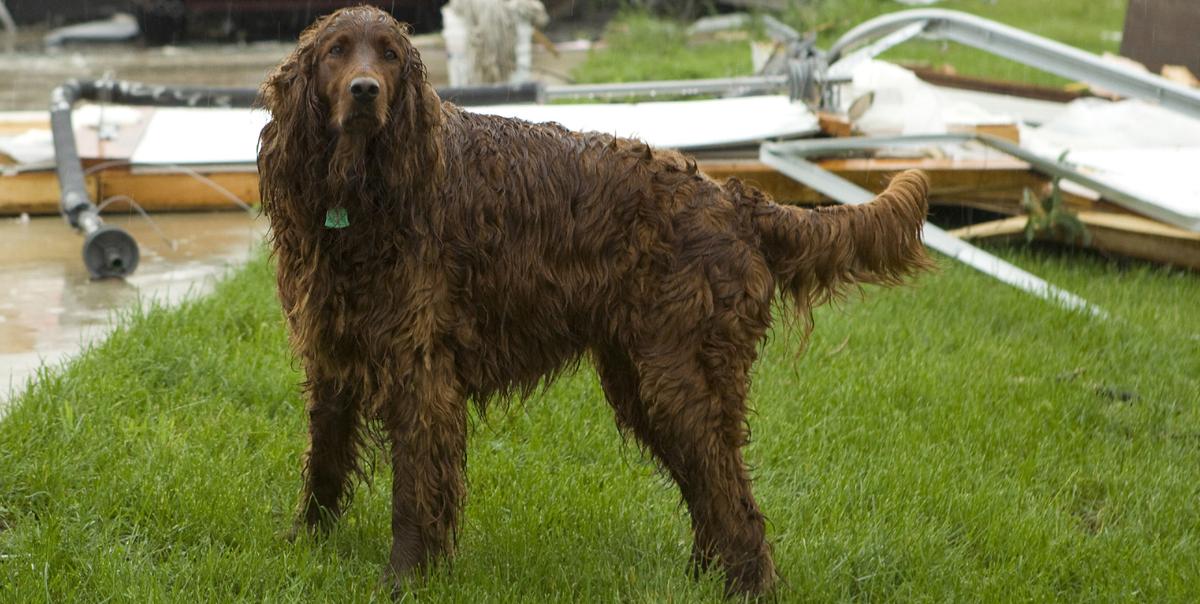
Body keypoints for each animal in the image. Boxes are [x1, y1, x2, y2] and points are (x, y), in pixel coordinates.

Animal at [258, 4, 931, 597]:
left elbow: (413, 493)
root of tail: (735, 199)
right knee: (710, 492)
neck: (362, 202)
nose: (365, 91)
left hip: (680, 379)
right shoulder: (332, 354)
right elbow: (324, 463)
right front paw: (301, 547)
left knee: (733, 500)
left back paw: (747, 587)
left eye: (390, 54)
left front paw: (403, 579)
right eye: (336, 52)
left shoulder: (420, 372)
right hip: (645, 381)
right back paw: (701, 579)